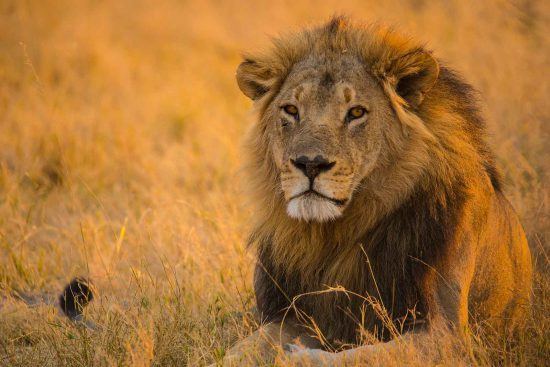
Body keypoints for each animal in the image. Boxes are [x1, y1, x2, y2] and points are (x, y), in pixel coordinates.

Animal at [220, 18, 536, 367]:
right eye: (290, 109)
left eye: (356, 113)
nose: (310, 164)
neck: (335, 235)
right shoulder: (289, 315)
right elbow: (239, 350)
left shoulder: (450, 335)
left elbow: (361, 355)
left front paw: (297, 357)